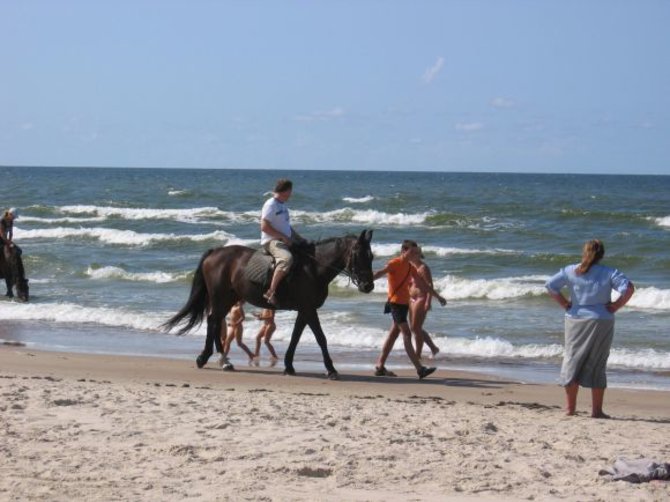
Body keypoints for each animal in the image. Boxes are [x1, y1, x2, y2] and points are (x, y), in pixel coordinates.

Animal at [162, 229, 372, 378]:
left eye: (371, 256)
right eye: (359, 255)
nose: (368, 286)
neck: (313, 268)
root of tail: (216, 251)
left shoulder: (305, 310)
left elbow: (296, 337)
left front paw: (289, 366)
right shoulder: (309, 309)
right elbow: (321, 338)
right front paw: (331, 370)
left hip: (228, 298)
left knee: (215, 321)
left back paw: (219, 360)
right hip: (220, 297)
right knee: (214, 321)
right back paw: (215, 359)